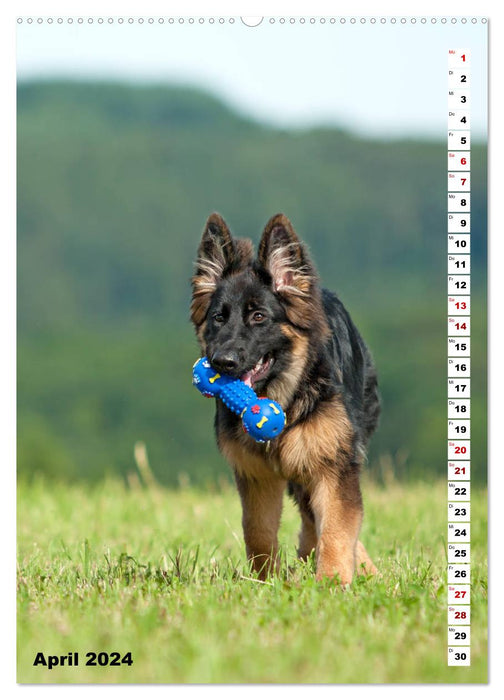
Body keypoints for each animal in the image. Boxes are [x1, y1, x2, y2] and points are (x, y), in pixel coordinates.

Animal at [191, 213, 380, 584]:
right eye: (218, 318)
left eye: (259, 317)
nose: (222, 362)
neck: (284, 398)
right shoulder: (256, 475)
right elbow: (257, 530)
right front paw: (265, 581)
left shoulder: (332, 465)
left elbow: (337, 528)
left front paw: (332, 583)